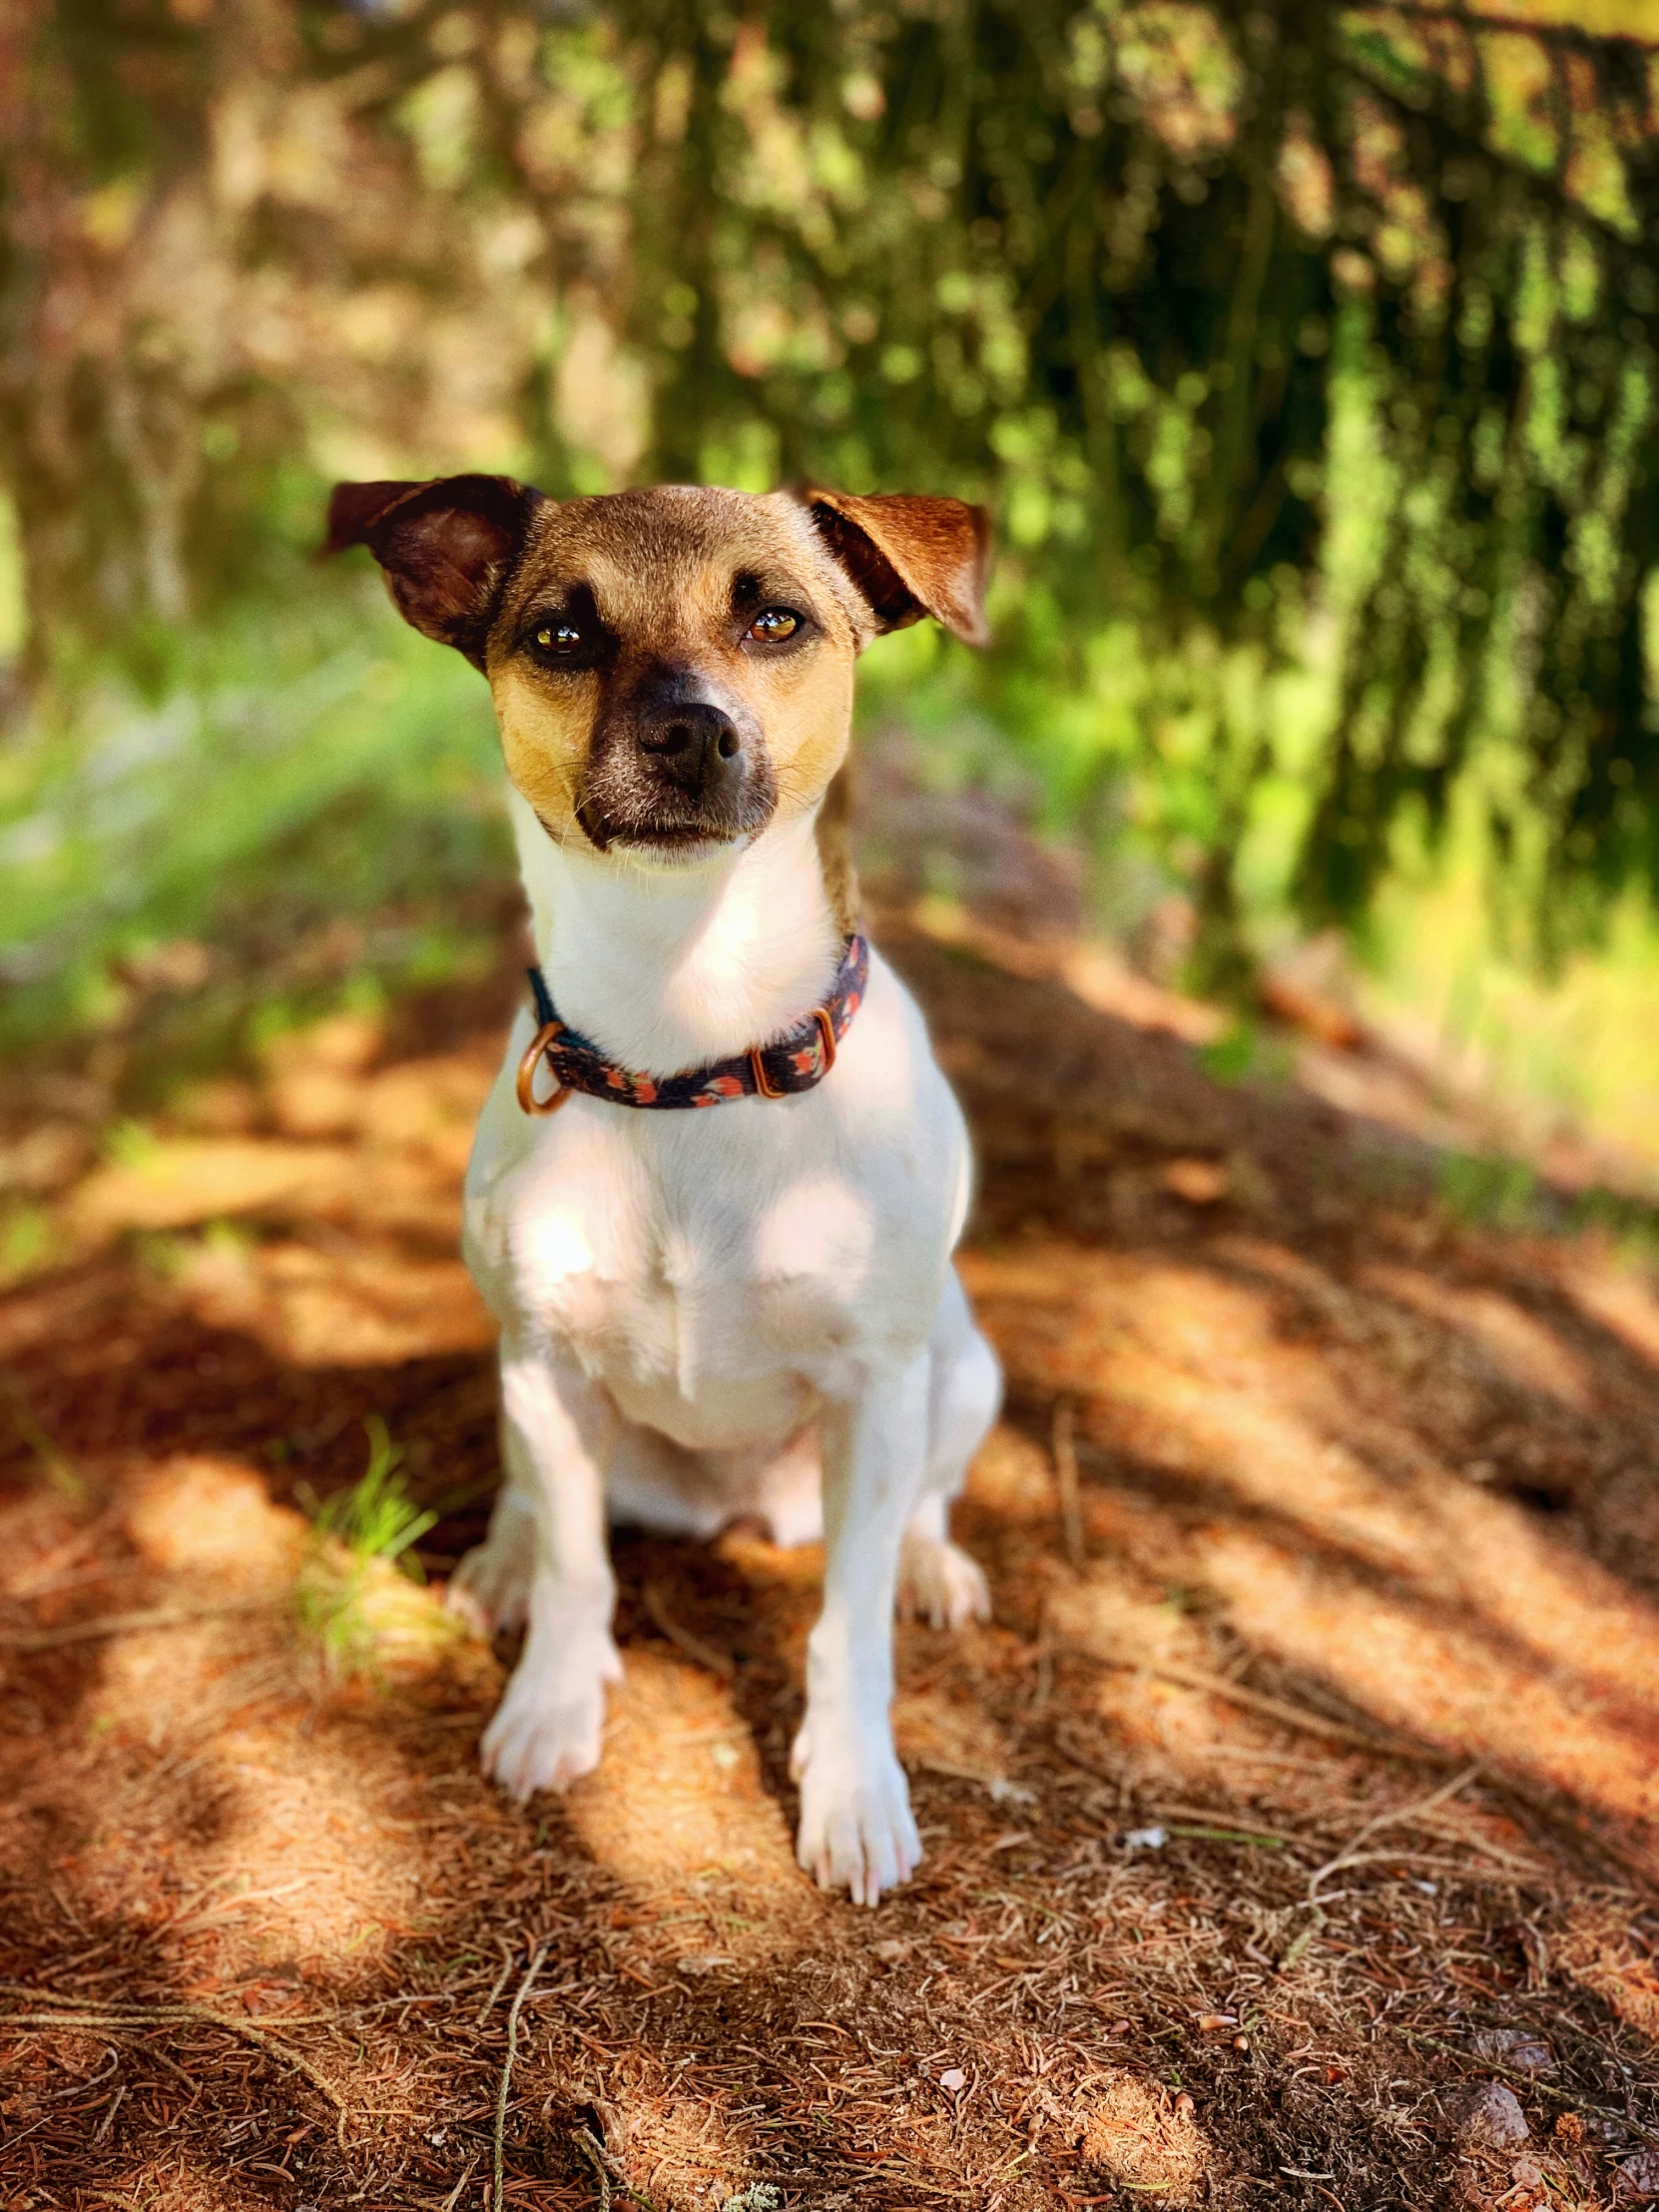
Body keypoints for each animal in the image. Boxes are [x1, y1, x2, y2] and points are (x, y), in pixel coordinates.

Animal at [324, 471, 999, 1902]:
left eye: (779, 618)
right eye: (563, 636)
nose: (691, 733)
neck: (689, 1047)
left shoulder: (879, 1387)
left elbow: (847, 1626)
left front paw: (852, 1786)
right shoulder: (544, 1362)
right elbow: (582, 1568)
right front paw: (551, 1704)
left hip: (965, 1367)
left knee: (927, 1494)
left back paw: (933, 1561)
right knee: (539, 1503)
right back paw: (503, 1562)